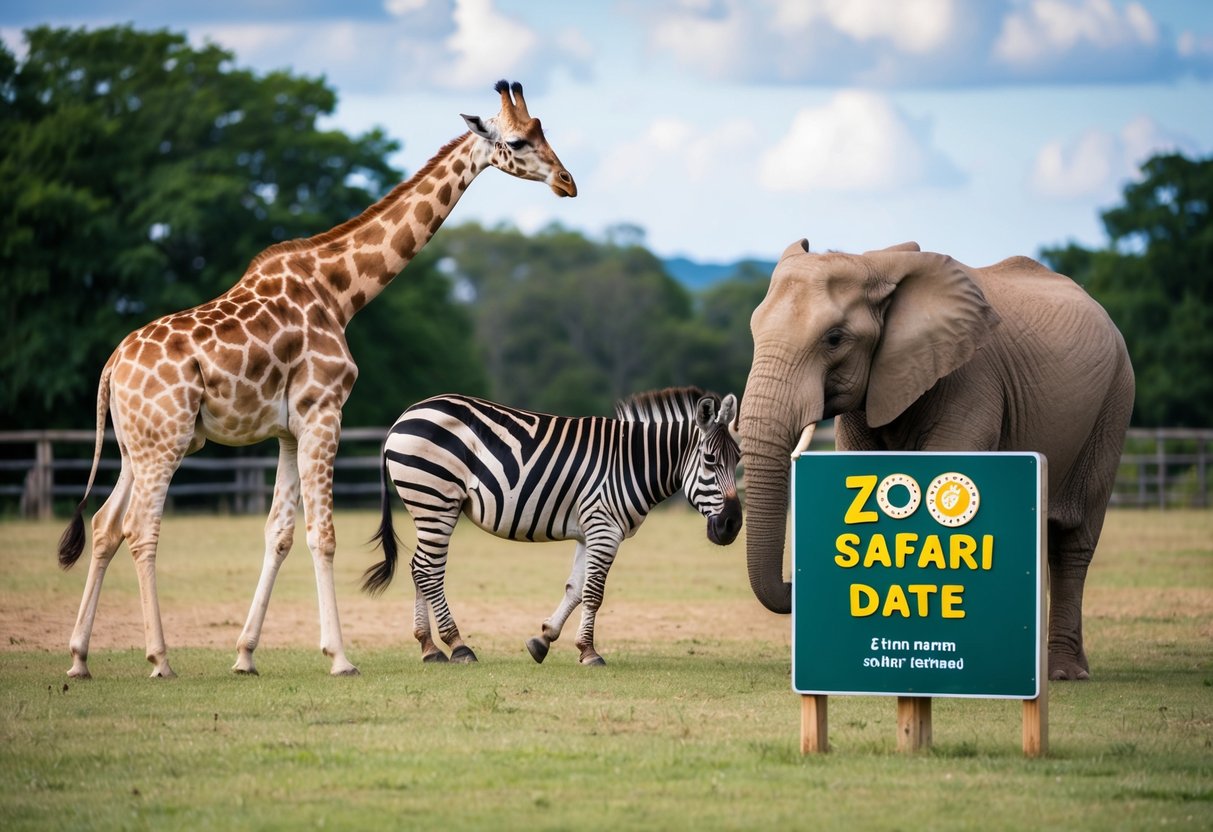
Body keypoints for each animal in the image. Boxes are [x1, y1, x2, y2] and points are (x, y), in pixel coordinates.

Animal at [57, 80, 576, 679]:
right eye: (517, 140)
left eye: (543, 129)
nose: (568, 182)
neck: (340, 291)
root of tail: (112, 366)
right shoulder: (323, 411)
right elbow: (322, 535)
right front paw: (340, 656)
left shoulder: (287, 429)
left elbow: (278, 533)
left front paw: (245, 655)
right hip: (167, 441)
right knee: (141, 532)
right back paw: (159, 659)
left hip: (134, 446)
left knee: (104, 526)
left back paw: (79, 658)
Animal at [361, 386, 742, 666]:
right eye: (710, 460)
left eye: (738, 459)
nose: (732, 525)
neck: (632, 463)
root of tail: (404, 416)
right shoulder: (605, 528)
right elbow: (594, 592)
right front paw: (590, 652)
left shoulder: (591, 531)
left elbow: (575, 588)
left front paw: (542, 641)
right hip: (436, 498)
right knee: (428, 570)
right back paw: (458, 646)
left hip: (429, 504)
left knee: (419, 568)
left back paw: (429, 647)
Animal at [738, 239, 1134, 681]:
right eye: (754, 330)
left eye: (834, 339)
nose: (793, 583)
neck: (875, 262)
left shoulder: (971, 379)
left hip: (1114, 405)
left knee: (1073, 542)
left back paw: (1063, 673)